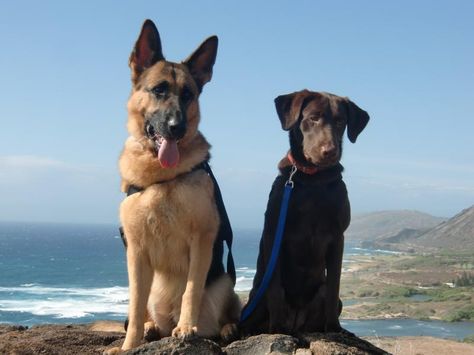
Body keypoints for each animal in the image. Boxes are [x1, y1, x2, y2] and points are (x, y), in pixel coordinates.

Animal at [107, 19, 241, 354]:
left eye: (188, 94)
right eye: (159, 90)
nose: (176, 128)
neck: (160, 177)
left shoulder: (202, 238)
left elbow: (191, 289)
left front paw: (186, 327)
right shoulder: (135, 252)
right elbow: (134, 305)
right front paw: (129, 344)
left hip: (224, 282)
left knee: (229, 310)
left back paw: (225, 327)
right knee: (147, 311)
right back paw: (152, 328)